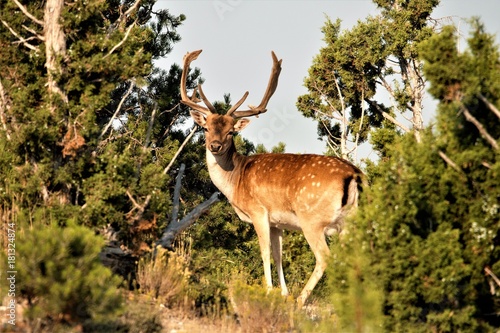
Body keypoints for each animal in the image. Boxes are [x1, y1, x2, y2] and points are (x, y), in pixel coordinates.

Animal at [180, 50, 364, 306]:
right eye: (206, 128)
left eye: (231, 131)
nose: (215, 146)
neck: (235, 181)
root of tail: (354, 175)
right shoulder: (278, 223)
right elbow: (278, 255)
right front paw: (283, 292)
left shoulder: (259, 211)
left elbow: (264, 251)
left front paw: (268, 291)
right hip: (349, 222)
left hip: (312, 219)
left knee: (325, 257)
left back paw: (301, 300)